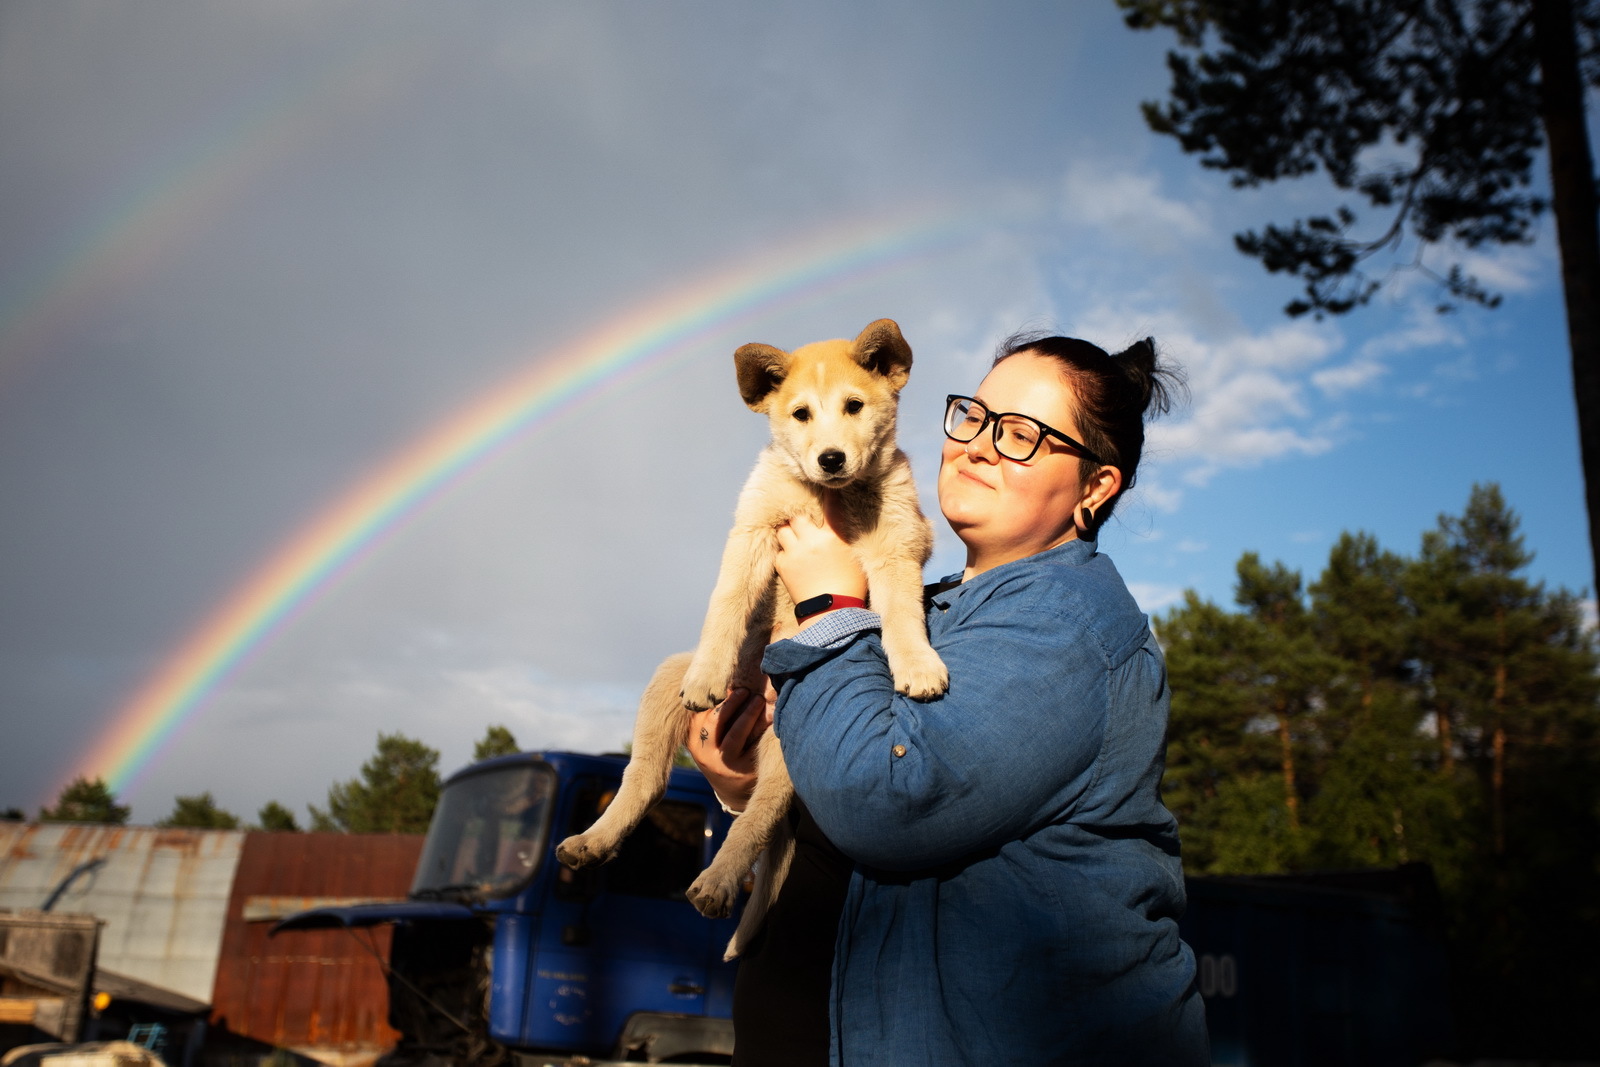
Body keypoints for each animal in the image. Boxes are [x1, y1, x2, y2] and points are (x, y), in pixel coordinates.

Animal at [556, 316, 940, 959]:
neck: (826, 496)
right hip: (666, 679)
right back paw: (593, 841)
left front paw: (918, 664)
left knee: (756, 820)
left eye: (854, 406)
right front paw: (710, 672)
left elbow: (904, 616)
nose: (830, 458)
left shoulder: (896, 546)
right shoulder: (753, 530)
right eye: (801, 413)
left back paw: (716, 883)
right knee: (646, 780)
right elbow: (727, 603)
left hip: (791, 754)